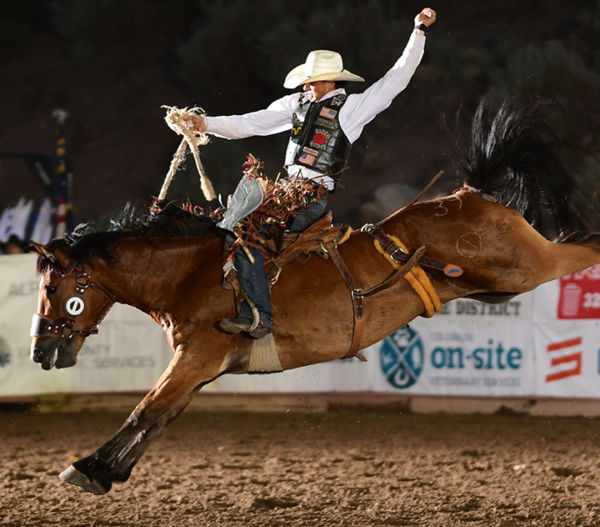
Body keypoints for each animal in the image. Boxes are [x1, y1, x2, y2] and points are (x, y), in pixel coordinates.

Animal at [29, 104, 600, 496]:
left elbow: (144, 410)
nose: (39, 351)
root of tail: (468, 194)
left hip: (530, 265)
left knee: (585, 245)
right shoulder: (201, 367)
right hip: (501, 283)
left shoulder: (194, 358)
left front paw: (86, 468)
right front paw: (108, 472)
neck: (193, 273)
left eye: (53, 289)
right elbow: (159, 418)